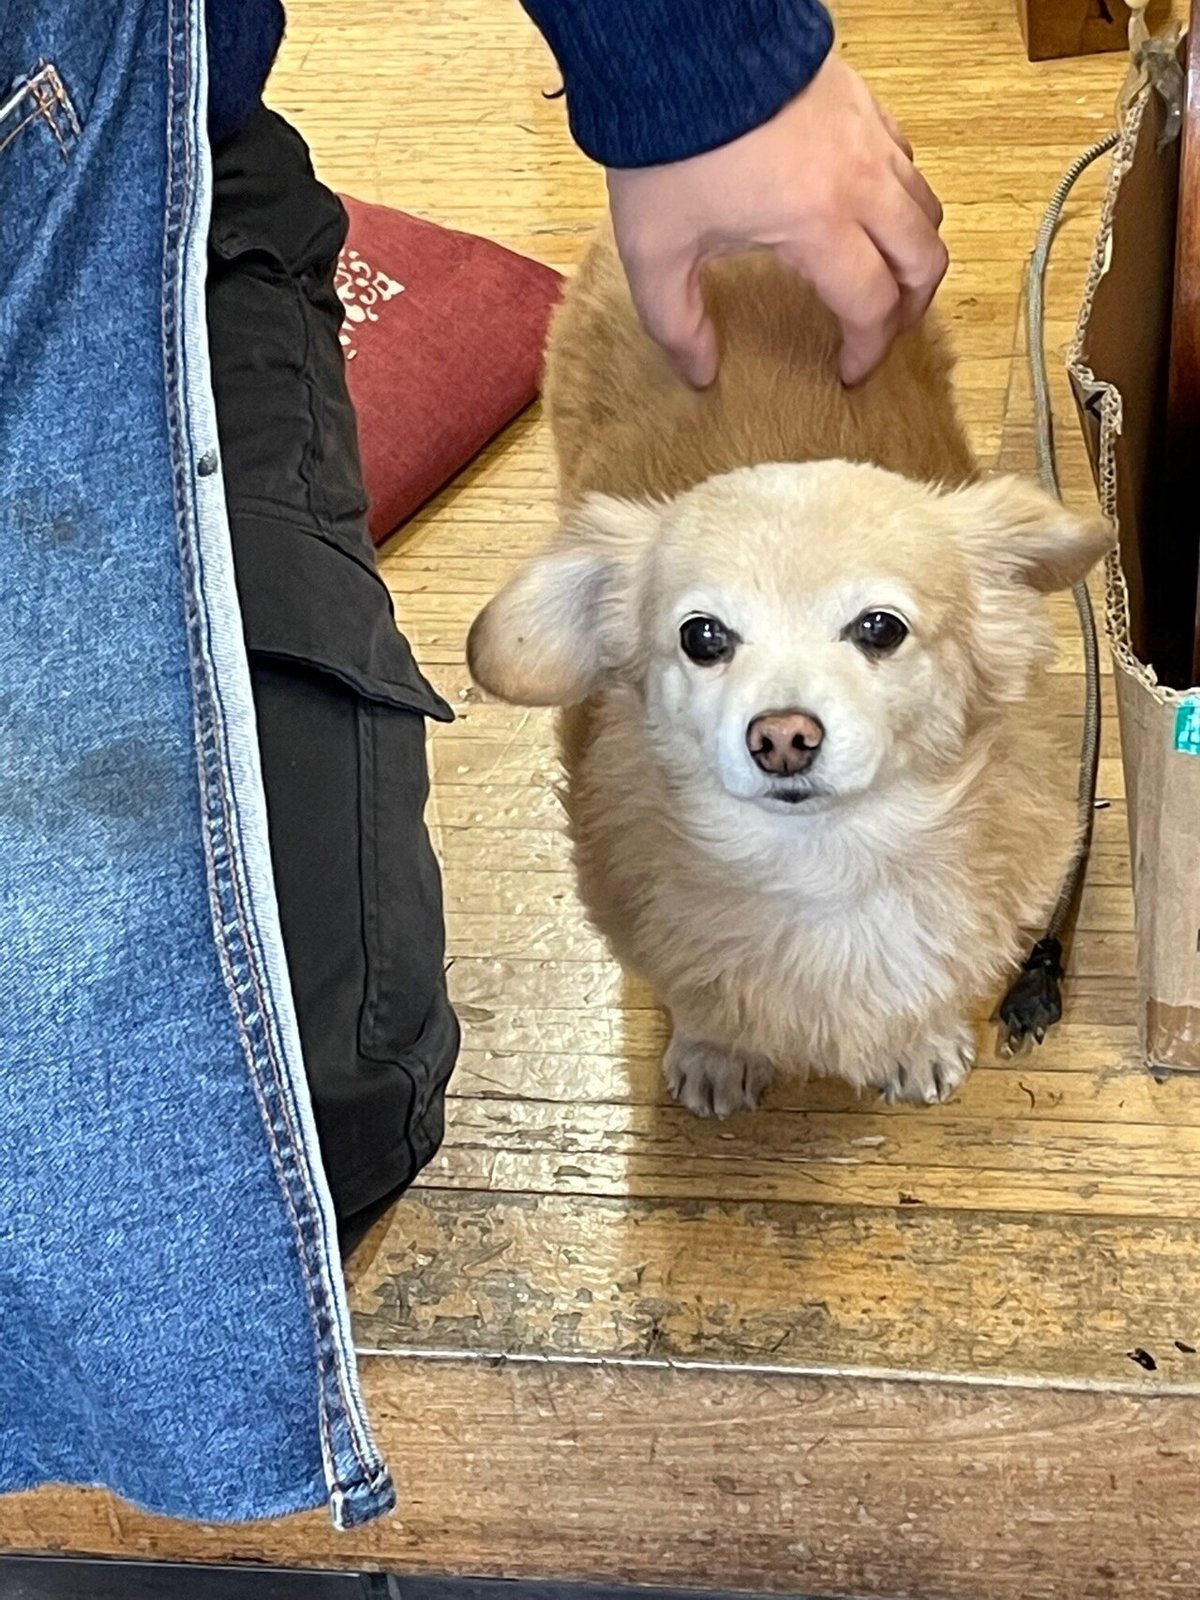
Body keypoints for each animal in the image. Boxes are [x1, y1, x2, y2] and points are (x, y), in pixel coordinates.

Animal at [467, 233, 1107, 1113]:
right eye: (702, 637)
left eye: (881, 628)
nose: (781, 738)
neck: (825, 868)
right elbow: (701, 1004)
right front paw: (717, 1053)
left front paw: (918, 1042)